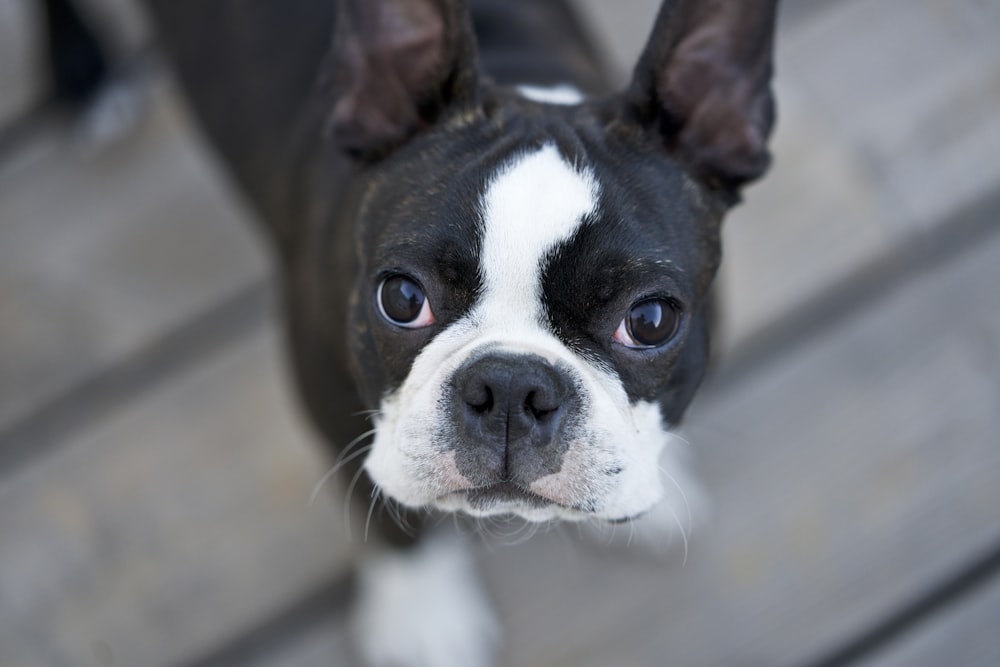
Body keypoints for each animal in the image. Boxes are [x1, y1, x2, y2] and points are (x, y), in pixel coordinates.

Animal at [54, 0, 780, 664]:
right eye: (402, 298)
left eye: (651, 320)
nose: (511, 387)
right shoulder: (331, 402)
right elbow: (391, 518)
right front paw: (424, 616)